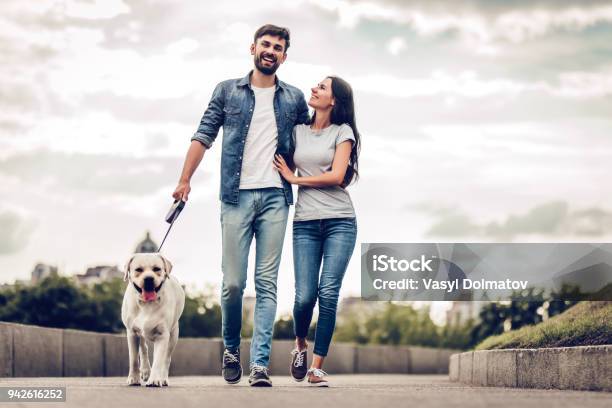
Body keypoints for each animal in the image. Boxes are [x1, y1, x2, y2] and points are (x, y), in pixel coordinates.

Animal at [120, 250, 184, 388]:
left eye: (157, 269)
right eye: (138, 269)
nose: (149, 278)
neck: (147, 304)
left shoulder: (162, 335)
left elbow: (159, 360)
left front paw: (155, 379)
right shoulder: (132, 333)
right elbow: (134, 359)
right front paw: (134, 378)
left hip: (173, 335)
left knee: (166, 358)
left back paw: (163, 378)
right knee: (143, 348)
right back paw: (145, 370)